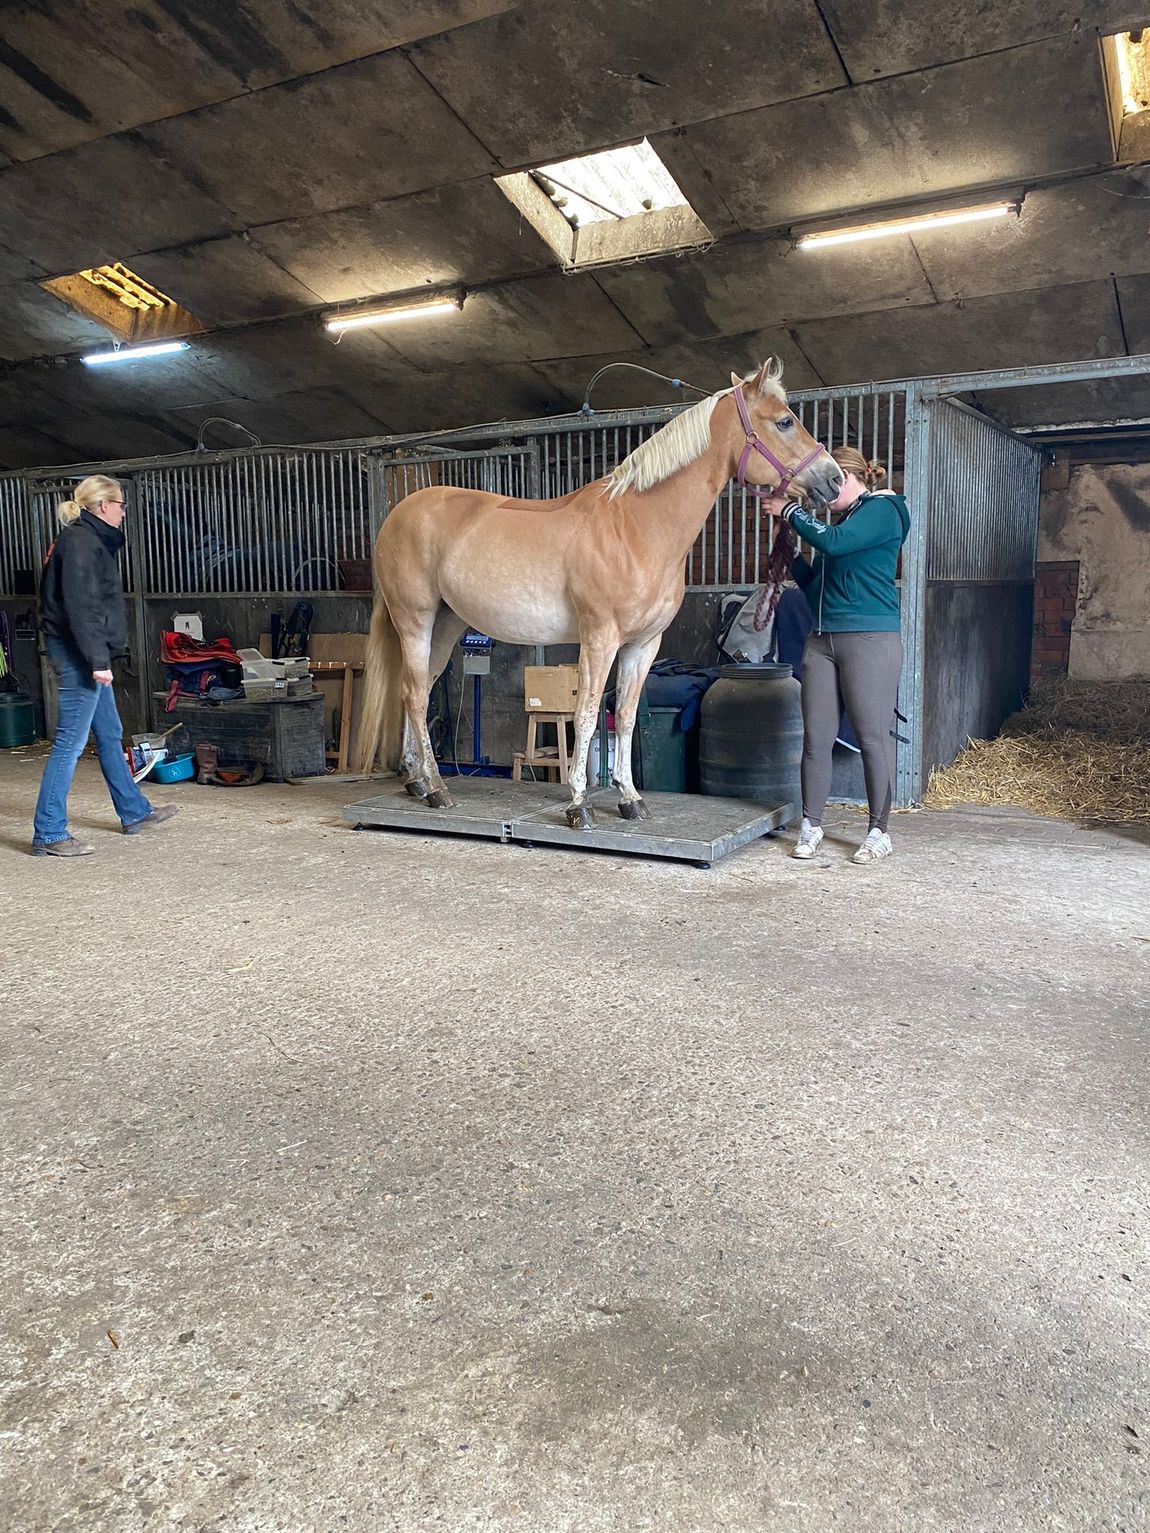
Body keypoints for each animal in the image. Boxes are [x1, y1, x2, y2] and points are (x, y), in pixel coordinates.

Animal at [355, 358, 842, 828]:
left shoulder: (644, 644)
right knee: (415, 694)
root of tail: (397, 515)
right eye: (784, 422)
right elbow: (586, 714)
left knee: (414, 689)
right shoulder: (599, 637)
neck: (636, 527)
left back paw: (417, 781)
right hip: (415, 619)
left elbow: (624, 715)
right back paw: (437, 789)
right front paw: (578, 804)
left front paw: (629, 799)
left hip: (446, 623)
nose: (834, 480)